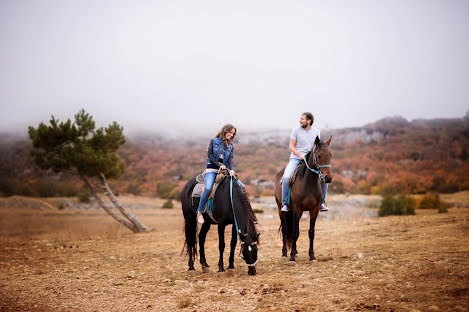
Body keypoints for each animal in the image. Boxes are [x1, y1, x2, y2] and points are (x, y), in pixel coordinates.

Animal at [272, 136, 330, 264]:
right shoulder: (298, 210)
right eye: (319, 156)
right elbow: (295, 232)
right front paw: (292, 257)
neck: (308, 183)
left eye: (330, 155)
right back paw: (284, 254)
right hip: (281, 210)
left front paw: (312, 256)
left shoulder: (314, 210)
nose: (328, 178)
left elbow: (311, 232)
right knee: (285, 230)